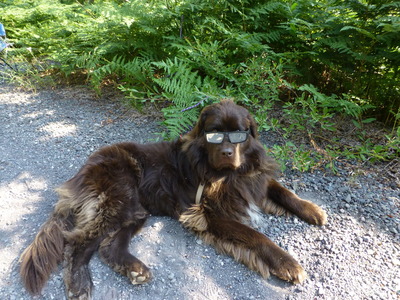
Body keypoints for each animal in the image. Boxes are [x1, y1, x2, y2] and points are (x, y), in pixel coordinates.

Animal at [18, 99, 326, 298]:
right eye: (214, 133)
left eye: (239, 133)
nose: (227, 153)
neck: (223, 174)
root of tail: (84, 168)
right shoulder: (207, 213)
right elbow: (255, 236)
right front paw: (287, 263)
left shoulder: (251, 180)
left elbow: (280, 190)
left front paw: (312, 209)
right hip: (118, 199)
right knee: (77, 241)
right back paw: (79, 283)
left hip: (134, 210)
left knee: (107, 246)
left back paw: (135, 270)